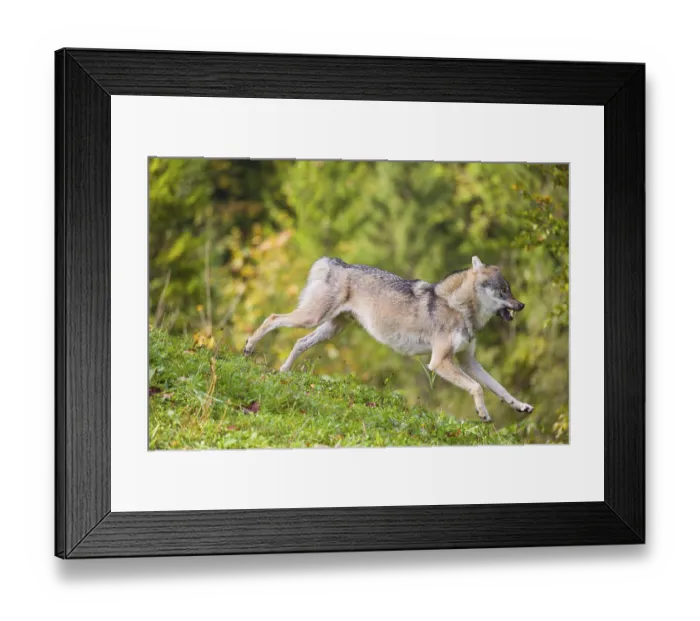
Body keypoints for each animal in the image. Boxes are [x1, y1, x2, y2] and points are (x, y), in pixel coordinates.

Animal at [243, 256, 534, 422]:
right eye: (504, 290)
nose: (522, 305)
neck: (459, 308)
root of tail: (338, 263)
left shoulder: (468, 362)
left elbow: (500, 389)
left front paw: (521, 406)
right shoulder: (439, 363)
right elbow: (477, 388)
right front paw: (483, 413)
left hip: (328, 329)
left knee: (298, 343)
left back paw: (283, 372)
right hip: (311, 318)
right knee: (272, 317)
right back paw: (248, 348)